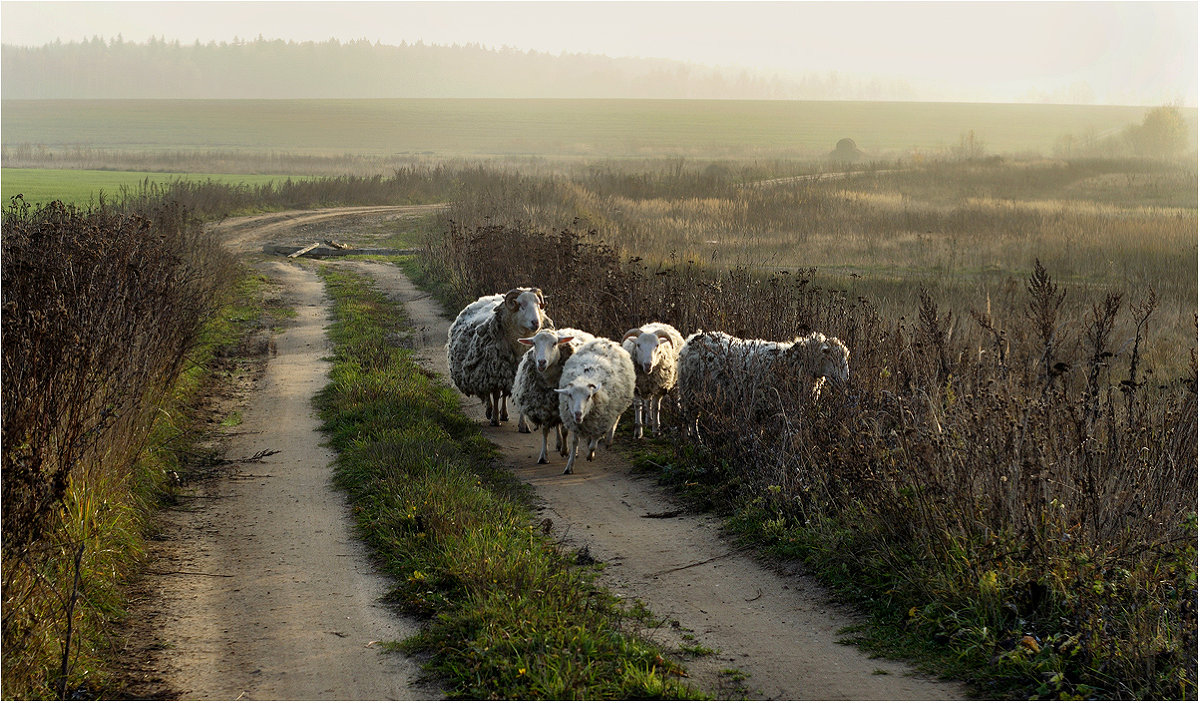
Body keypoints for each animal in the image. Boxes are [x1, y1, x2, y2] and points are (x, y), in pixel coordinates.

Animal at [446, 285, 552, 427]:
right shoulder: (494, 371)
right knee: (487, 392)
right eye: (521, 305)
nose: (536, 322)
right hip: (485, 370)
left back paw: (504, 414)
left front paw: (523, 424)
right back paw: (490, 411)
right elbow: (496, 395)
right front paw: (495, 418)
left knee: (504, 393)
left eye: (538, 304)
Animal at [511, 326, 595, 463]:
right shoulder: (544, 406)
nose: (541, 362)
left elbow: (566, 431)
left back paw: (571, 450)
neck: (549, 379)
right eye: (534, 343)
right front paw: (543, 456)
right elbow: (545, 431)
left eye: (555, 343)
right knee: (557, 426)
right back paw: (558, 443)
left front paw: (566, 451)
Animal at [554, 335, 638, 472]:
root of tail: (605, 340)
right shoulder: (575, 424)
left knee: (614, 422)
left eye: (589, 396)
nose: (577, 414)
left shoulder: (600, 423)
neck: (585, 378)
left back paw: (608, 440)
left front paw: (590, 455)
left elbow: (594, 444)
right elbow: (574, 444)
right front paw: (569, 466)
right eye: (570, 395)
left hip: (617, 409)